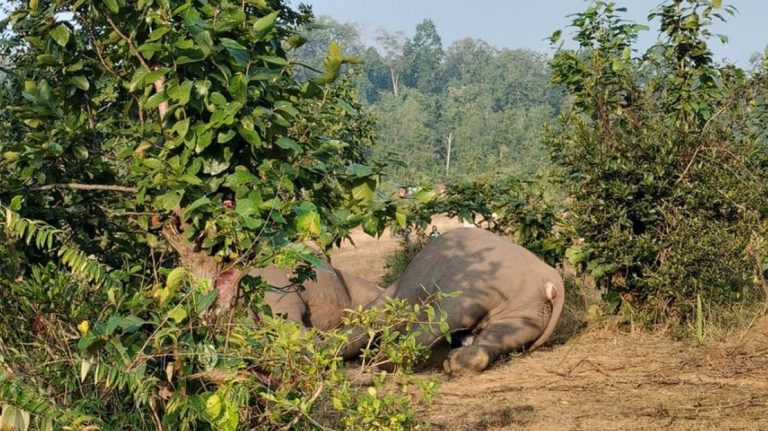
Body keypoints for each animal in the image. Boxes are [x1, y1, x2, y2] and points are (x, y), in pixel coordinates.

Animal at [339, 227, 565, 374]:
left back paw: (384, 361)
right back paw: (453, 363)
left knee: (447, 318)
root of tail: (551, 283)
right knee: (502, 335)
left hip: (473, 285)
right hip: (528, 311)